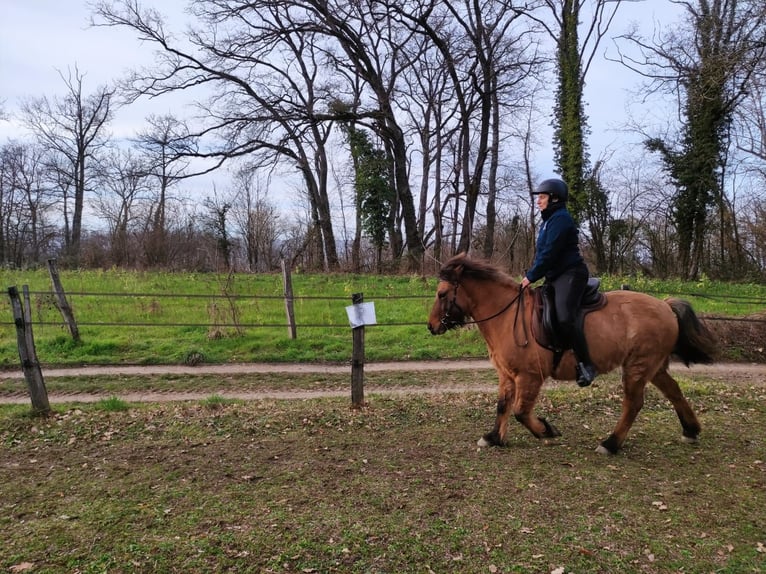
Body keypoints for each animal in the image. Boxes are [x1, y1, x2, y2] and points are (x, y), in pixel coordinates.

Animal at [427, 253, 718, 455]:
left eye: (441, 294)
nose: (431, 326)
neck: (507, 315)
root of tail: (665, 306)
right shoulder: (507, 375)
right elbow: (502, 406)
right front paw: (493, 437)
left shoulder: (530, 377)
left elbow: (521, 411)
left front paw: (546, 430)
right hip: (652, 366)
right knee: (673, 391)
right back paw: (690, 430)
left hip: (638, 367)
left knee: (634, 403)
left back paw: (610, 444)